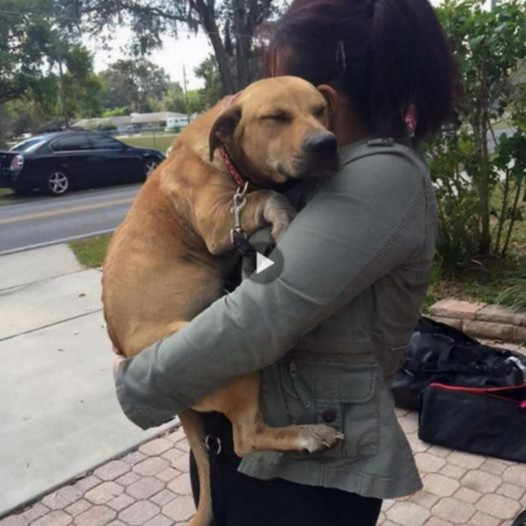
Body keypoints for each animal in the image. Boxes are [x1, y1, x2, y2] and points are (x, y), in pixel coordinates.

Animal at [102, 75, 342, 526]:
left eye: (320, 110)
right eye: (276, 117)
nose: (326, 143)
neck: (228, 162)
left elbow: (265, 193)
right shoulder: (219, 221)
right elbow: (268, 196)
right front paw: (284, 218)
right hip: (228, 356)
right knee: (246, 438)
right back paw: (307, 434)